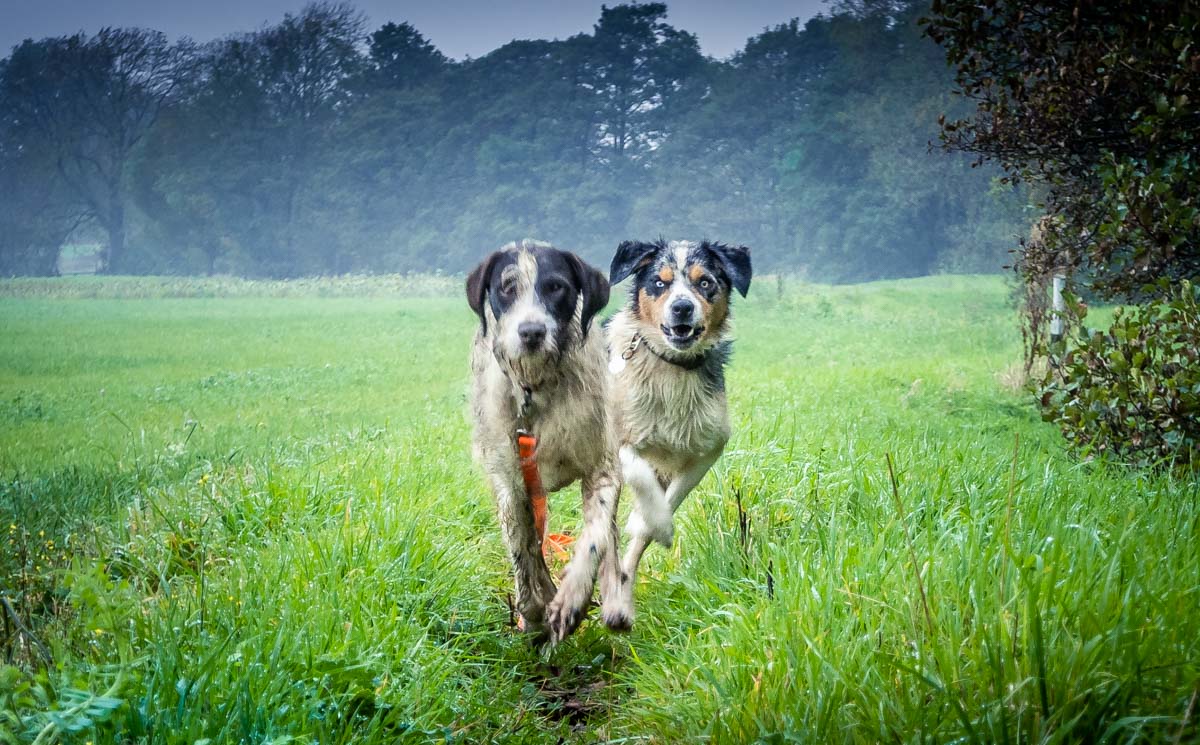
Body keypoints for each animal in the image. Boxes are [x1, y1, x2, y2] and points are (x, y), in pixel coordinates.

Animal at [463, 238, 628, 638]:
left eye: (556, 287)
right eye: (507, 287)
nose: (531, 332)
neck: (536, 390)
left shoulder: (602, 468)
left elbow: (596, 536)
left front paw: (571, 599)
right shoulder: (510, 482)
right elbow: (524, 548)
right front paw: (535, 606)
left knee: (608, 537)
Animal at [604, 238, 753, 623]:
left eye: (705, 282)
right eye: (660, 282)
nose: (682, 307)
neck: (671, 368)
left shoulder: (708, 448)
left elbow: (669, 500)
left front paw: (653, 524)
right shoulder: (617, 438)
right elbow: (639, 473)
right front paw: (655, 520)